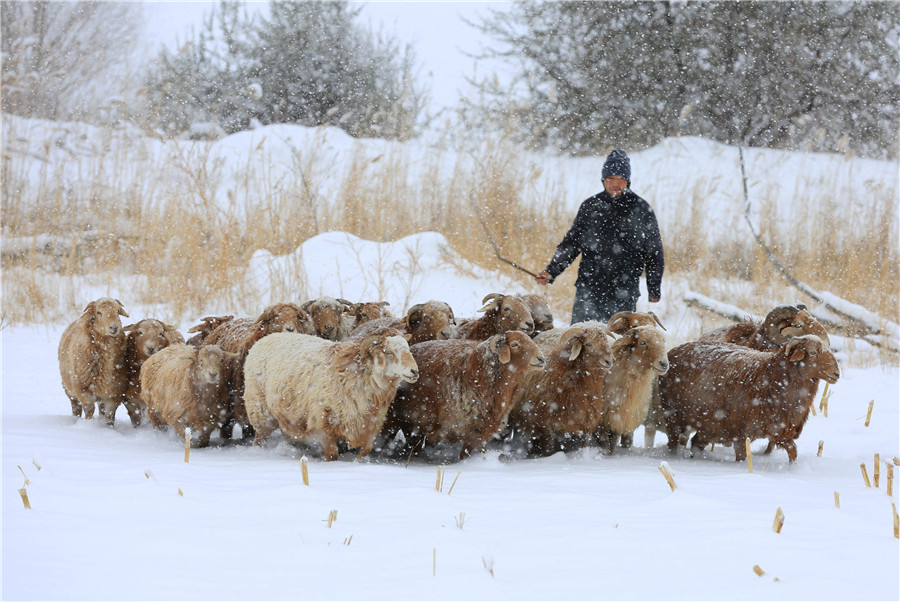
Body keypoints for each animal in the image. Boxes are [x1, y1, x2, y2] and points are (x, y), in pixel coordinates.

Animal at [243, 328, 418, 460]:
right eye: (389, 352)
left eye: (408, 349)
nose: (414, 371)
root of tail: (266, 337)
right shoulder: (322, 424)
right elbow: (332, 455)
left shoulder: (370, 425)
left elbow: (366, 450)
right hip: (260, 411)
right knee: (260, 438)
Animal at [510, 324, 616, 454]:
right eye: (588, 344)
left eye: (605, 341)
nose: (609, 361)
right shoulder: (542, 422)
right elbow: (549, 448)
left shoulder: (587, 421)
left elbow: (584, 445)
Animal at [656, 336, 840, 462]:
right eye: (813, 353)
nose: (836, 373)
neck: (770, 376)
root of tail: (675, 350)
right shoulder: (740, 433)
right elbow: (742, 457)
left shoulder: (781, 428)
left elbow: (793, 451)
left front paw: (792, 470)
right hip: (674, 415)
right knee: (673, 441)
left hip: (709, 423)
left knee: (696, 442)